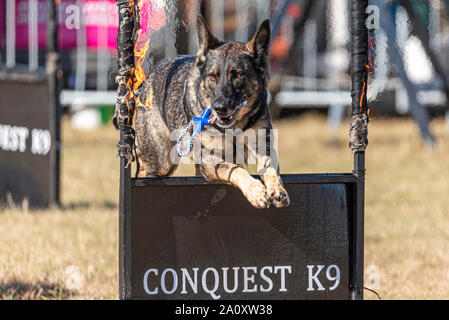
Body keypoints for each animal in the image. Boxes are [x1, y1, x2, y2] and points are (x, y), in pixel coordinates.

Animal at [135, 16, 288, 209]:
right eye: (212, 77)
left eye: (238, 75)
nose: (219, 107)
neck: (234, 128)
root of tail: (148, 79)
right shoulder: (209, 160)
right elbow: (235, 169)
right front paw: (256, 191)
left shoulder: (262, 147)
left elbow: (270, 169)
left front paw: (277, 190)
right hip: (160, 161)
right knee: (143, 171)